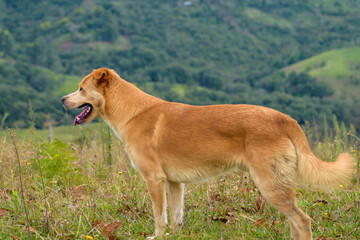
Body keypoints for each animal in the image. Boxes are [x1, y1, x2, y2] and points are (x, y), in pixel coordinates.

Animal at [61, 68, 354, 239]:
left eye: (80, 88)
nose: (62, 100)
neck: (132, 112)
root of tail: (286, 119)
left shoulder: (154, 179)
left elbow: (159, 217)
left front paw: (157, 235)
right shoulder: (174, 183)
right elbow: (175, 217)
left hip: (270, 184)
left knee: (302, 220)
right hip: (277, 185)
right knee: (295, 221)